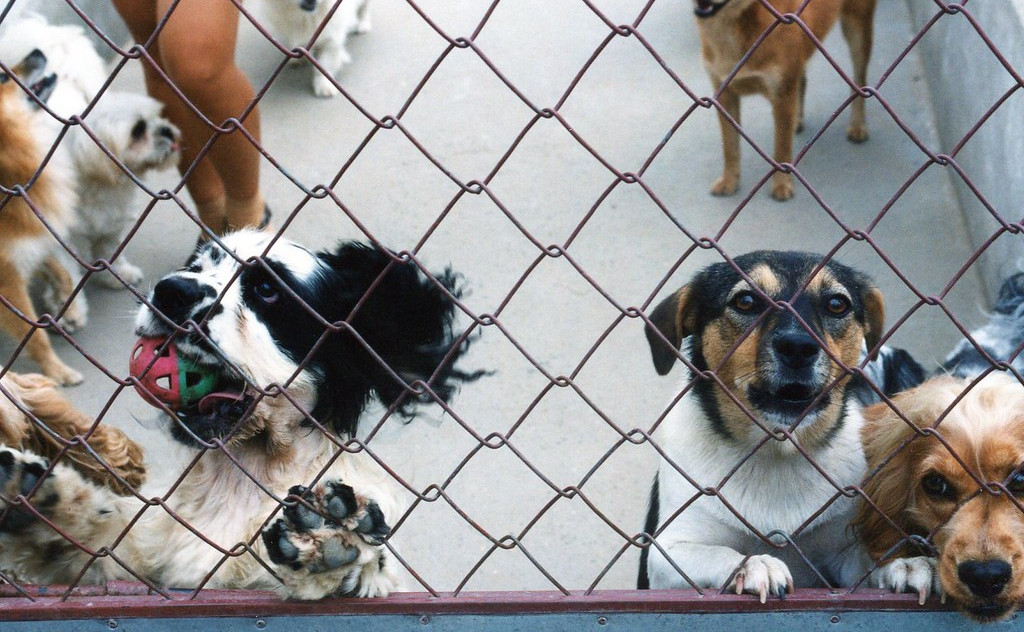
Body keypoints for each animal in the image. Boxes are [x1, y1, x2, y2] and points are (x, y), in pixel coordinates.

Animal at [0, 49, 85, 385]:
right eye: (2, 76)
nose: (36, 51)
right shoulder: (8, 279)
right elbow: (34, 334)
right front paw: (58, 371)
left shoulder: (31, 237)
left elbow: (58, 268)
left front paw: (67, 306)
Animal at [0, 229, 479, 598]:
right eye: (196, 264)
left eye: (267, 289)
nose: (172, 291)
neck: (248, 473)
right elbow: (99, 538)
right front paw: (36, 496)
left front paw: (328, 540)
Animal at [637, 250, 923, 599]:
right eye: (745, 301)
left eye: (836, 304)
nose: (798, 348)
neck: (777, 449)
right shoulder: (667, 552)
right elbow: (716, 551)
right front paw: (754, 564)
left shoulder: (840, 553)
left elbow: (867, 563)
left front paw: (903, 564)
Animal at [693, 0, 876, 200]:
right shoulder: (724, 97)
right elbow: (730, 147)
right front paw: (729, 181)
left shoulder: (782, 94)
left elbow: (781, 147)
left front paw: (781, 183)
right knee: (802, 81)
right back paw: (797, 120)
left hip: (857, 30)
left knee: (859, 82)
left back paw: (858, 126)